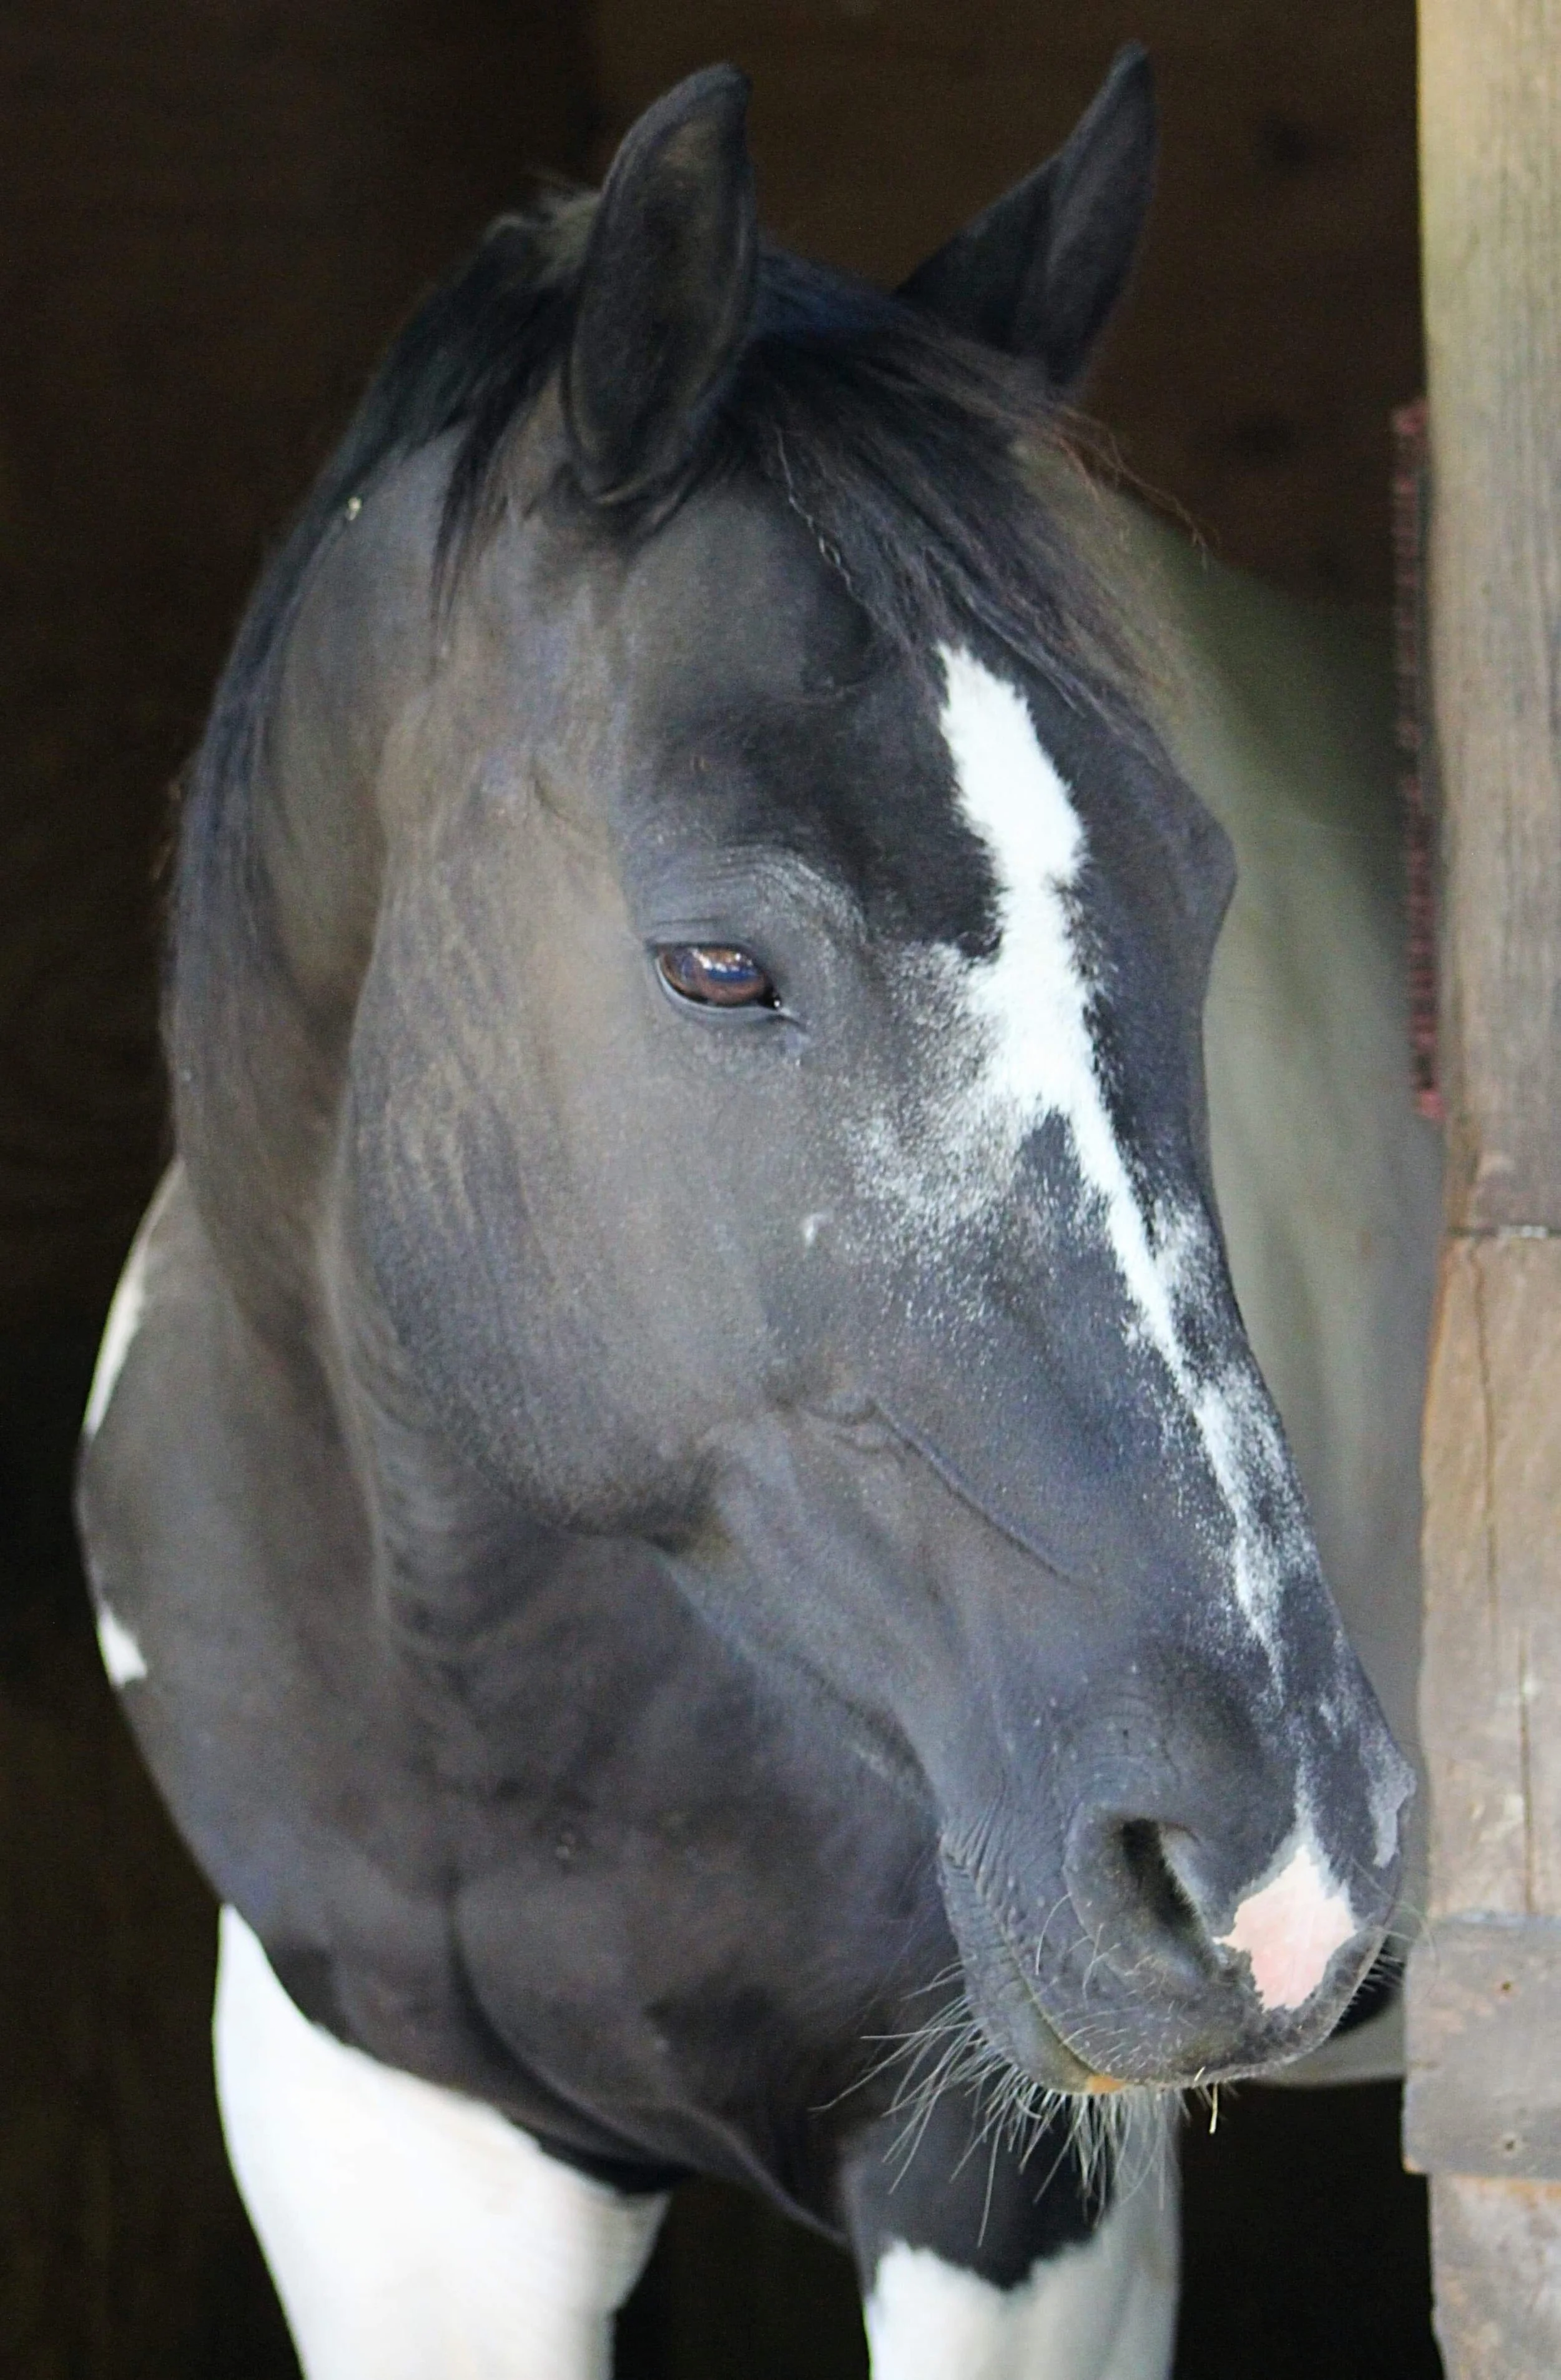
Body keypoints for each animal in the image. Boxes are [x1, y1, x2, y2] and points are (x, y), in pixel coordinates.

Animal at [76, 48, 1438, 2379]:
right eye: (718, 965)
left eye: (1203, 888)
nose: (1278, 1869)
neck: (500, 1693)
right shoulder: (389, 2153)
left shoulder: (1008, 2196)